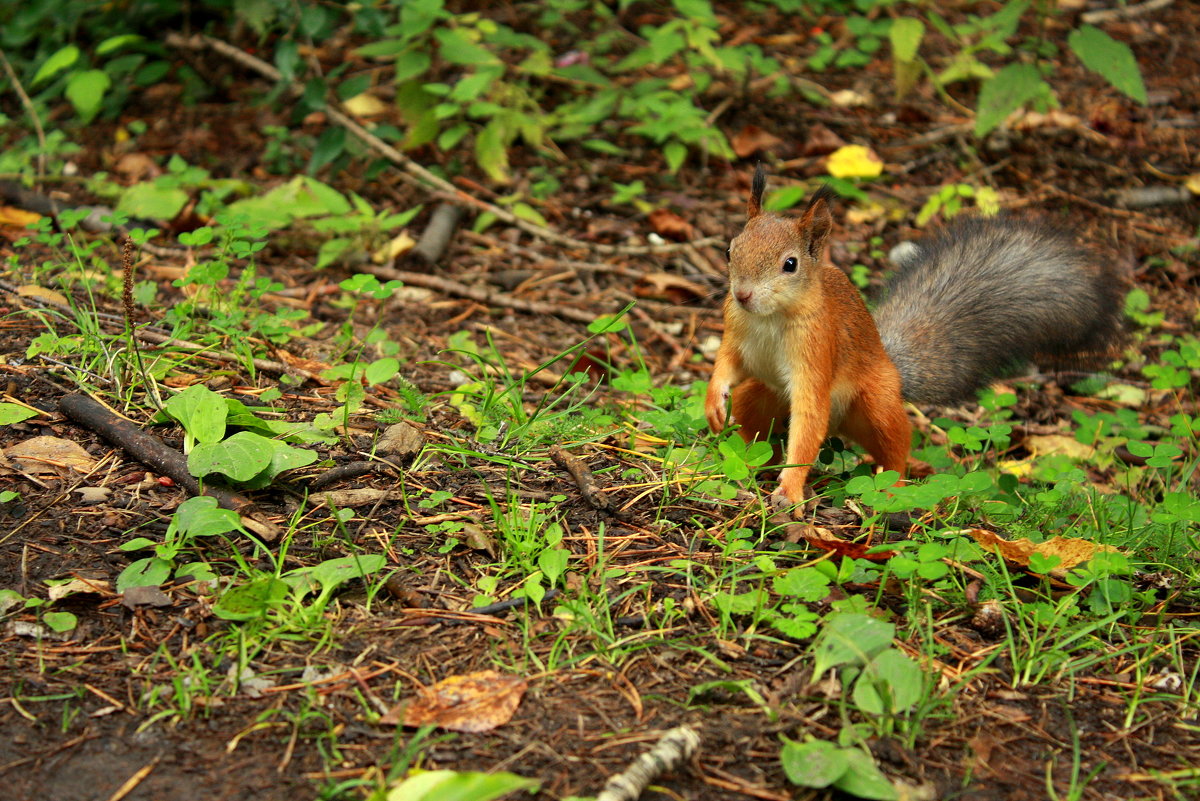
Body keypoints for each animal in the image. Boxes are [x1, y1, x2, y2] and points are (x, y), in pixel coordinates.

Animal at [705, 167, 1118, 506]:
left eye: (790, 264)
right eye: (729, 249)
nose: (743, 294)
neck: (769, 318)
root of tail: (892, 365)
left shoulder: (817, 349)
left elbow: (808, 418)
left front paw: (790, 489)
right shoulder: (735, 329)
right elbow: (725, 363)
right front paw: (713, 404)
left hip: (876, 404)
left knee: (894, 445)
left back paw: (895, 486)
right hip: (763, 395)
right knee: (753, 419)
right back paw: (739, 457)